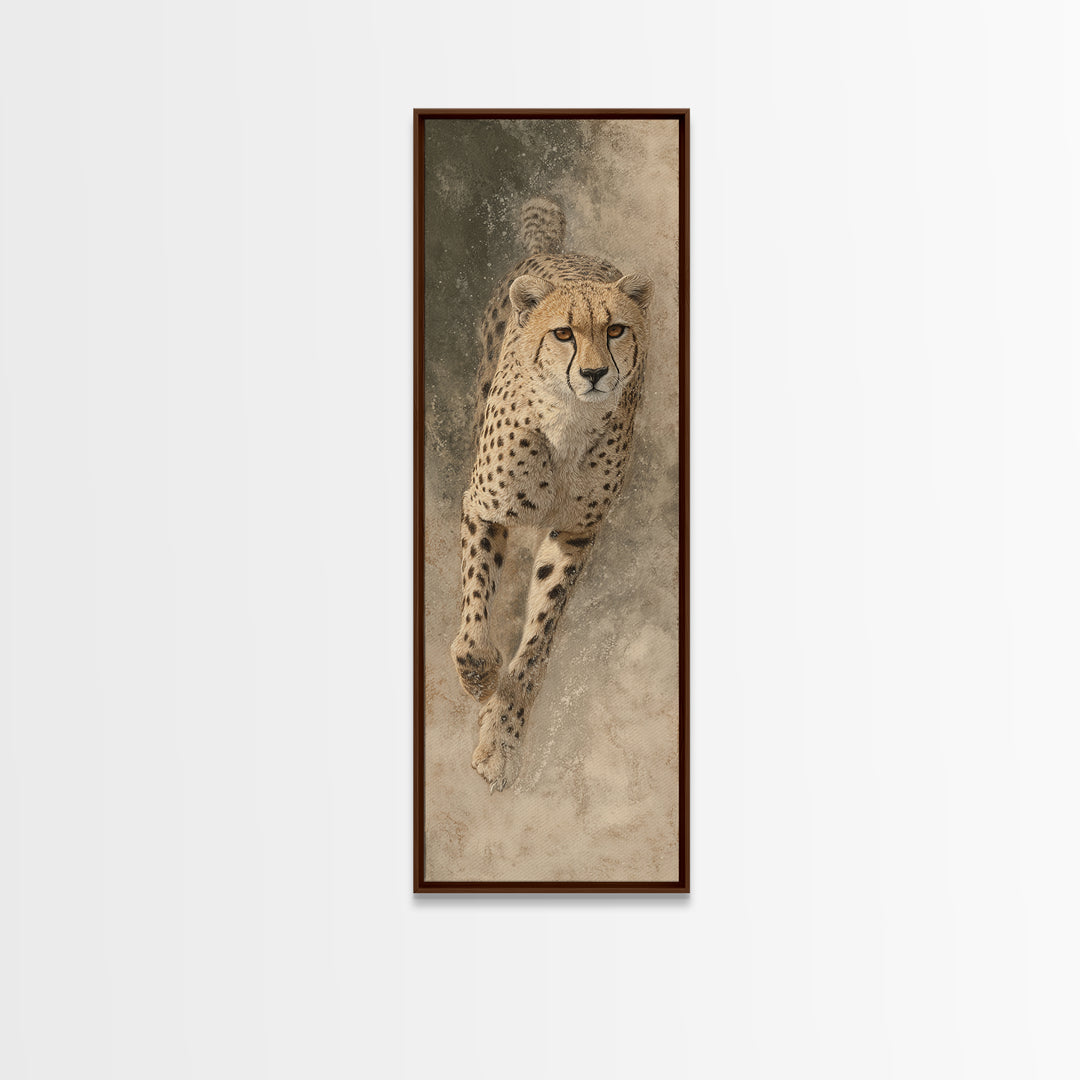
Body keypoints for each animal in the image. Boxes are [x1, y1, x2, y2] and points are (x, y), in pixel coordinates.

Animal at [450, 197, 653, 792]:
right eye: (564, 334)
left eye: (615, 329)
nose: (593, 373)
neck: (568, 420)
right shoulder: (485, 507)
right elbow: (477, 600)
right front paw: (478, 672)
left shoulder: (575, 532)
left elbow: (538, 639)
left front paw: (501, 739)